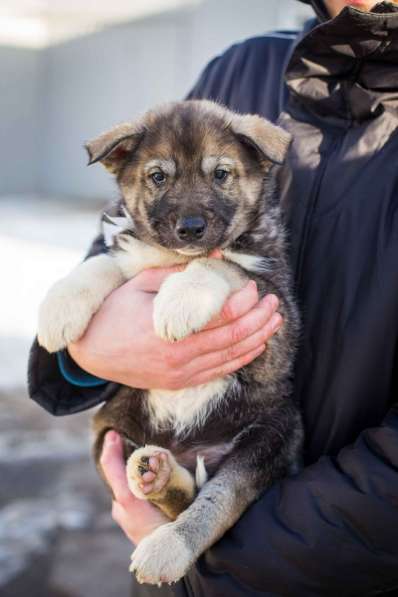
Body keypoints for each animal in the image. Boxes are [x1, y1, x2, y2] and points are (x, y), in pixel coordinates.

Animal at [38, 100, 304, 584]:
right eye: (159, 176)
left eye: (222, 174)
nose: (192, 228)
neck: (172, 257)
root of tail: (192, 451)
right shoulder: (132, 259)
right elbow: (104, 265)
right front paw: (61, 305)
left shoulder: (278, 308)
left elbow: (224, 266)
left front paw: (181, 298)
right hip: (111, 430)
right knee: (173, 492)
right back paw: (159, 476)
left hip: (272, 435)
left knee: (215, 500)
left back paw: (167, 545)